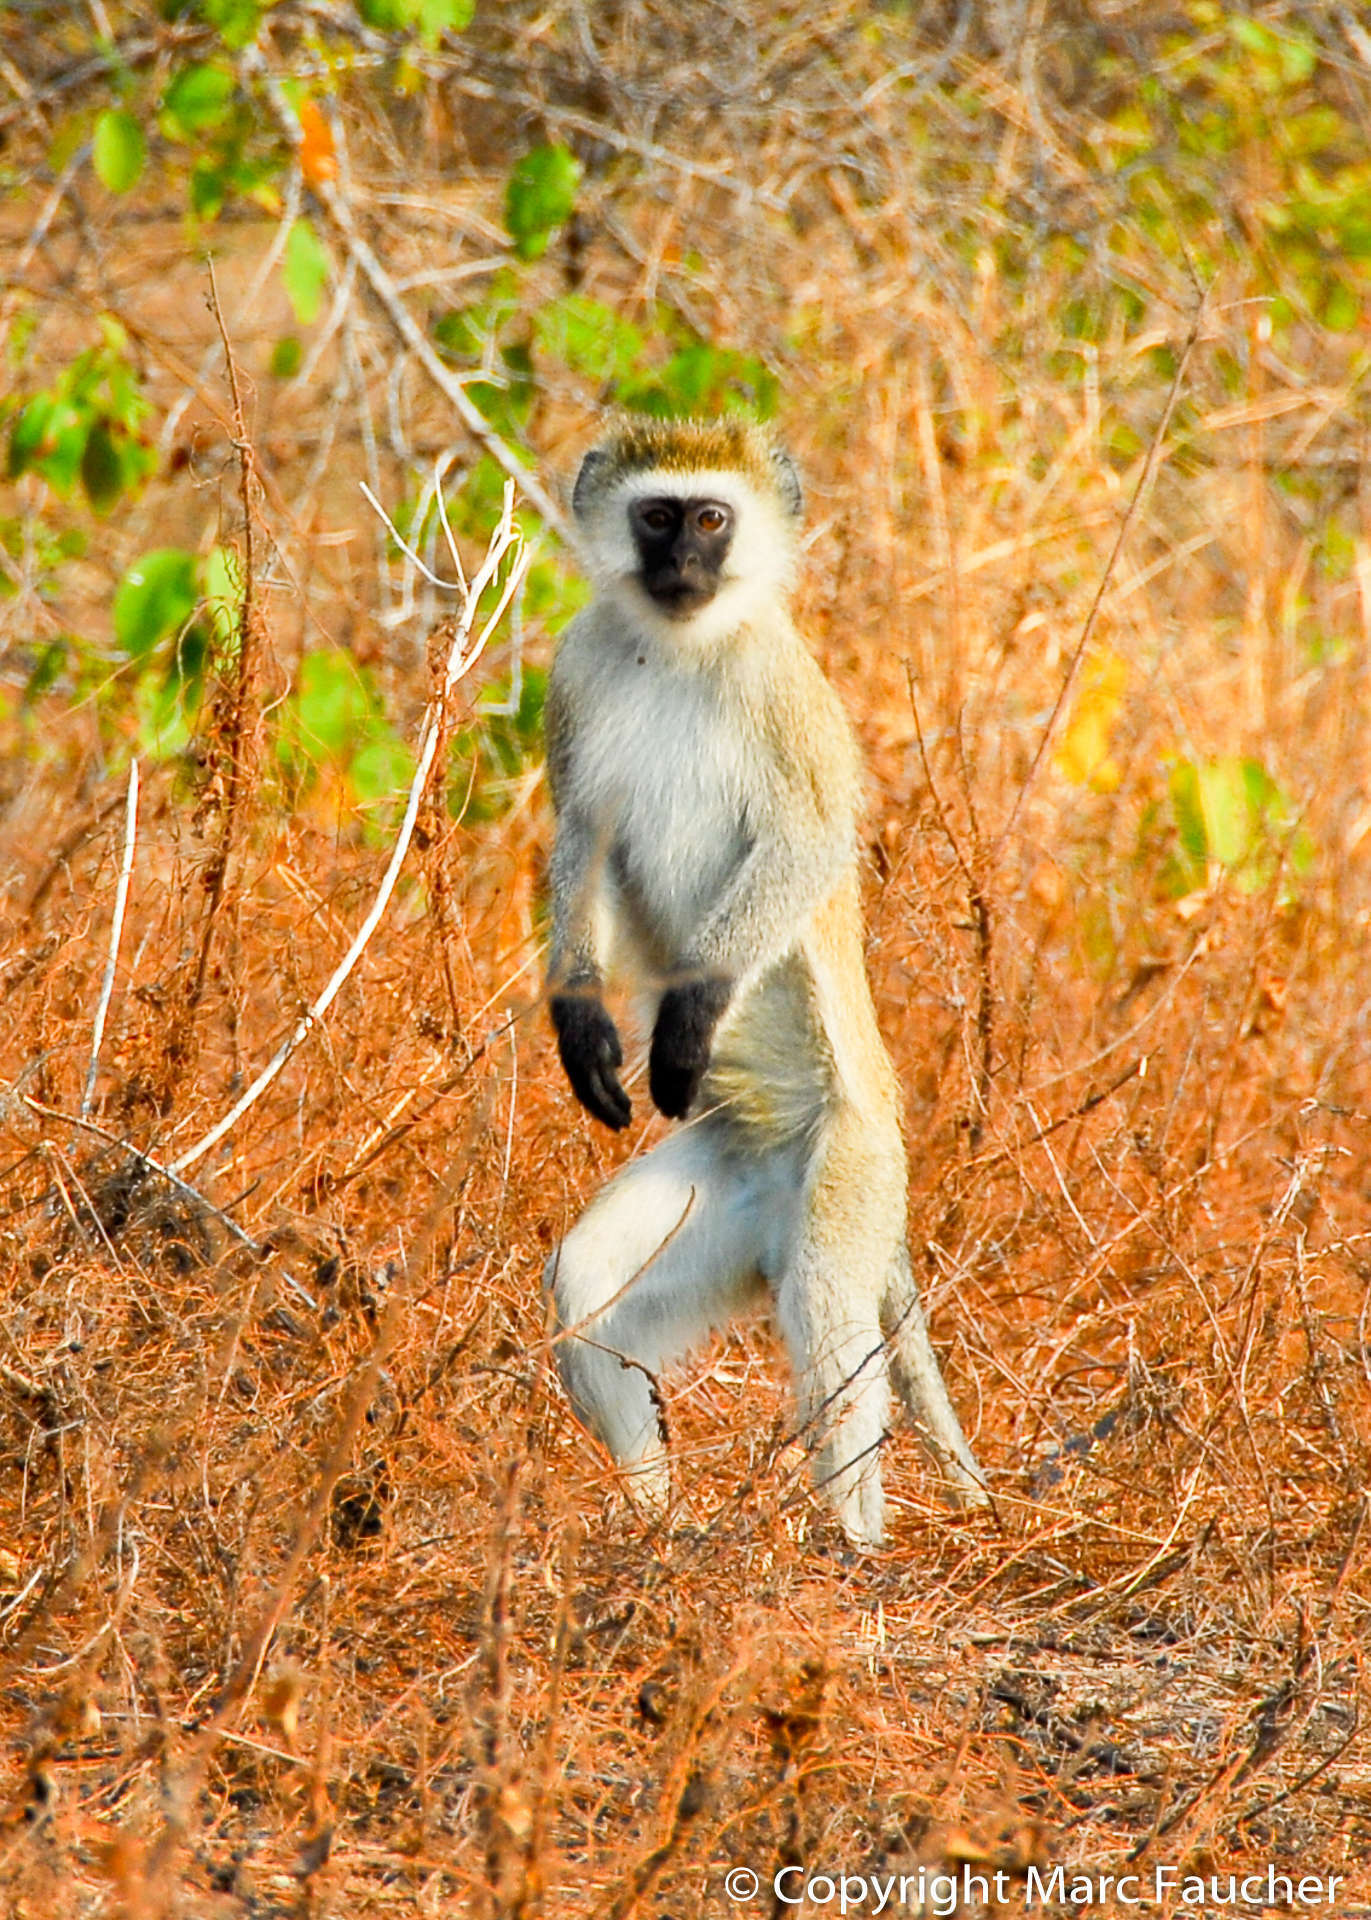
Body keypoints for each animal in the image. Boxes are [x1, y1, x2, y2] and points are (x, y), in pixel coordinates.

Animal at [541, 416, 983, 1543]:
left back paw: (852, 1545)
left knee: (828, 1311)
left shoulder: (786, 693)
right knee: (590, 1289)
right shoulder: (578, 667)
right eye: (657, 517)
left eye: (711, 519)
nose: (685, 567)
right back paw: (657, 1530)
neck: (683, 646)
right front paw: (584, 1029)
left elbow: (810, 843)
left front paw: (686, 1023)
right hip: (731, 1191)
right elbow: (580, 837)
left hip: (853, 1167)